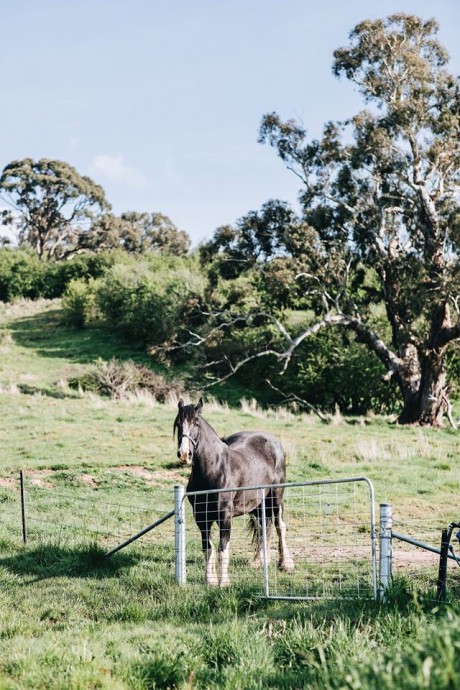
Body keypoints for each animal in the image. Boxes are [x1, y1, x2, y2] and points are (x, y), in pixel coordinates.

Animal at [172, 398, 294, 584]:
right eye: (179, 424)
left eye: (196, 423)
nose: (185, 454)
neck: (213, 470)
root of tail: (273, 441)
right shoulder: (201, 517)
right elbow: (207, 548)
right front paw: (210, 581)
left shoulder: (225, 516)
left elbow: (223, 549)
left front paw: (224, 583)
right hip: (257, 504)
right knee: (262, 527)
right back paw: (258, 562)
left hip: (276, 497)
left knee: (280, 526)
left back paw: (285, 564)